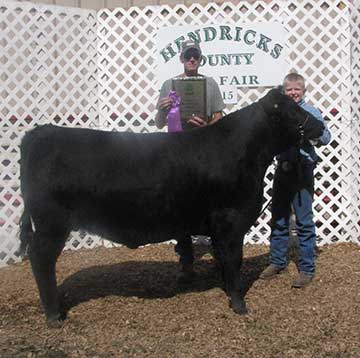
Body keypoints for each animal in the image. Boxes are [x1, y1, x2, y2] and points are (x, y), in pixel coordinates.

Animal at [18, 89, 324, 324]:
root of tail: (43, 132)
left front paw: (227, 291)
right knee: (41, 260)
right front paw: (239, 305)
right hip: (51, 225)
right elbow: (233, 261)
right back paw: (54, 315)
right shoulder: (230, 221)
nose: (320, 125)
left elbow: (224, 261)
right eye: (293, 111)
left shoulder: (218, 226)